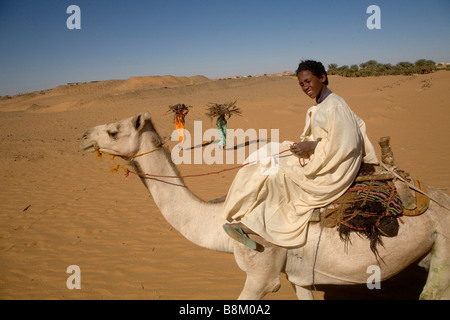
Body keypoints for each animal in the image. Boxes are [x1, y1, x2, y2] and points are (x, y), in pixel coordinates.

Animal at [80, 112, 450, 300]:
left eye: (112, 131)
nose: (82, 136)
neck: (218, 221)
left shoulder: (262, 273)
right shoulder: (299, 277)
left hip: (444, 251)